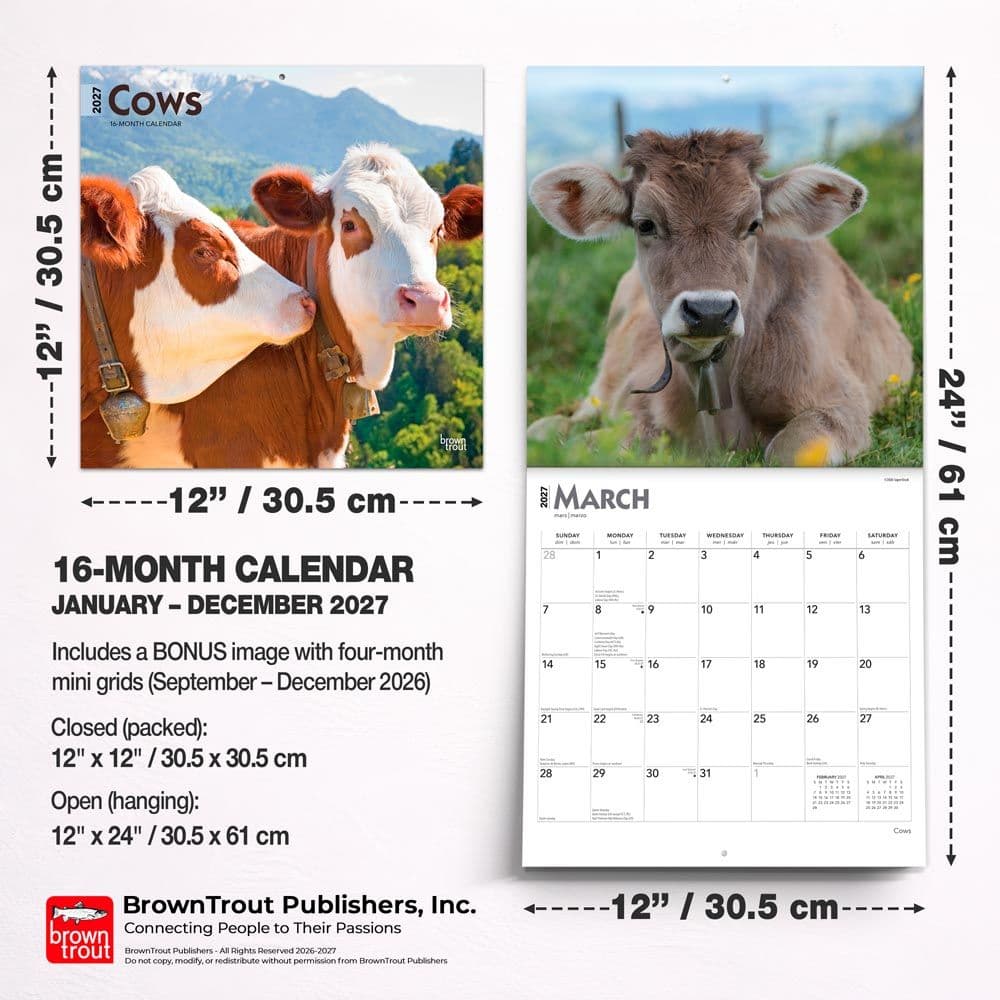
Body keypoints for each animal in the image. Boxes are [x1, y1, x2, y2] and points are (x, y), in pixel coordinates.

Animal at [528, 129, 913, 465]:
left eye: (754, 224)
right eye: (645, 224)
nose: (710, 311)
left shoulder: (841, 404)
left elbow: (788, 451)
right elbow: (600, 444)